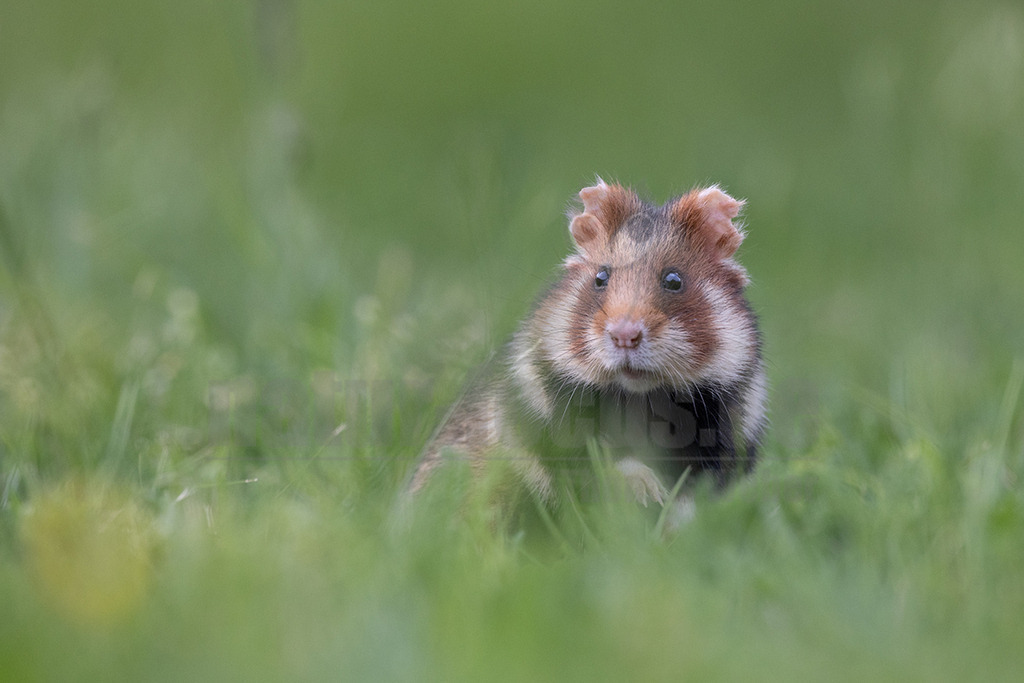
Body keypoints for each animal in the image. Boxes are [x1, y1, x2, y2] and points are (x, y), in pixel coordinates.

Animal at [408, 180, 767, 509]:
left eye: (674, 280)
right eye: (600, 278)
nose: (624, 335)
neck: (639, 398)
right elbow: (608, 460)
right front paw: (647, 491)